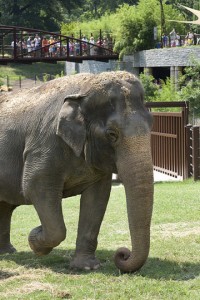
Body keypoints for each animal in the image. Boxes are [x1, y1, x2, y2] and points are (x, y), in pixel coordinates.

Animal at [0, 71, 154, 274]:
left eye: (151, 125)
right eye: (112, 134)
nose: (123, 254)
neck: (84, 88)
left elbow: (97, 198)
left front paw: (87, 267)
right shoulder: (45, 144)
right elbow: (34, 186)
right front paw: (35, 240)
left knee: (4, 206)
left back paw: (7, 252)